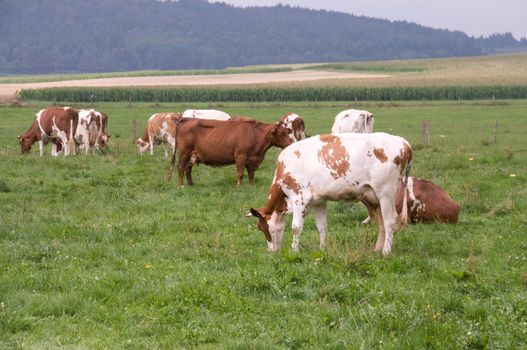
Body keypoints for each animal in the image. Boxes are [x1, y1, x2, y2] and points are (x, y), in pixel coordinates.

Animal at [249, 133, 412, 256]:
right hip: (376, 197)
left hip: (386, 193)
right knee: (382, 222)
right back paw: (377, 249)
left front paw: (294, 251)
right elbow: (321, 226)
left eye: (261, 228)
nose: (271, 252)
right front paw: (322, 249)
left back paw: (386, 251)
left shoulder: (299, 197)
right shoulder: (319, 200)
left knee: (390, 221)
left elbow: (296, 227)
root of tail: (404, 143)